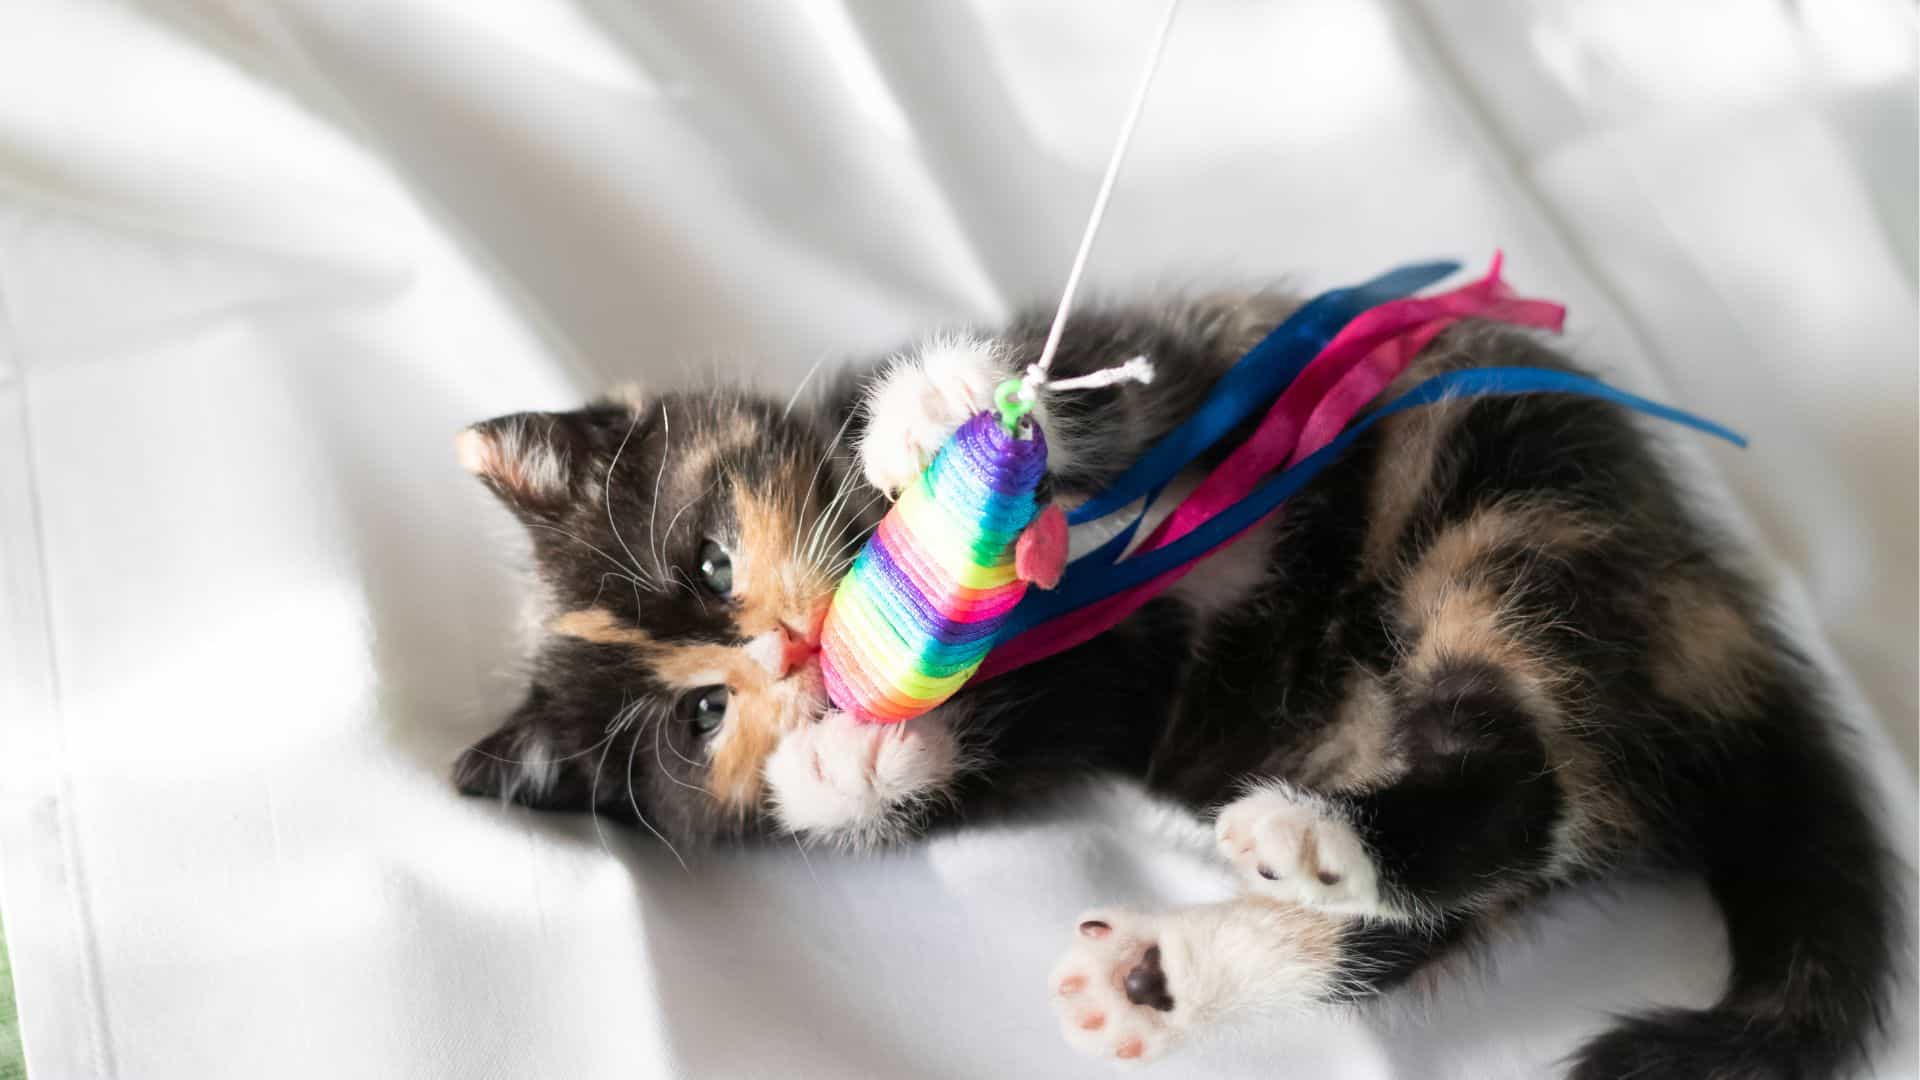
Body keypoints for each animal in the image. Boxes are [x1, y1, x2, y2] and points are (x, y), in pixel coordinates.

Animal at [456, 294, 1896, 1076]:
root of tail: (1714, 623)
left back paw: (1301, 856)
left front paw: (934, 412)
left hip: (1505, 478)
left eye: (709, 560)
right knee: (1483, 872)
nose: (789, 658)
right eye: (702, 716)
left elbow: (1105, 394)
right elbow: (949, 772)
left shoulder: (1179, 366)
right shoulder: (1055, 729)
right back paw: (1180, 955)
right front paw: (837, 769)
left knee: (1520, 744)